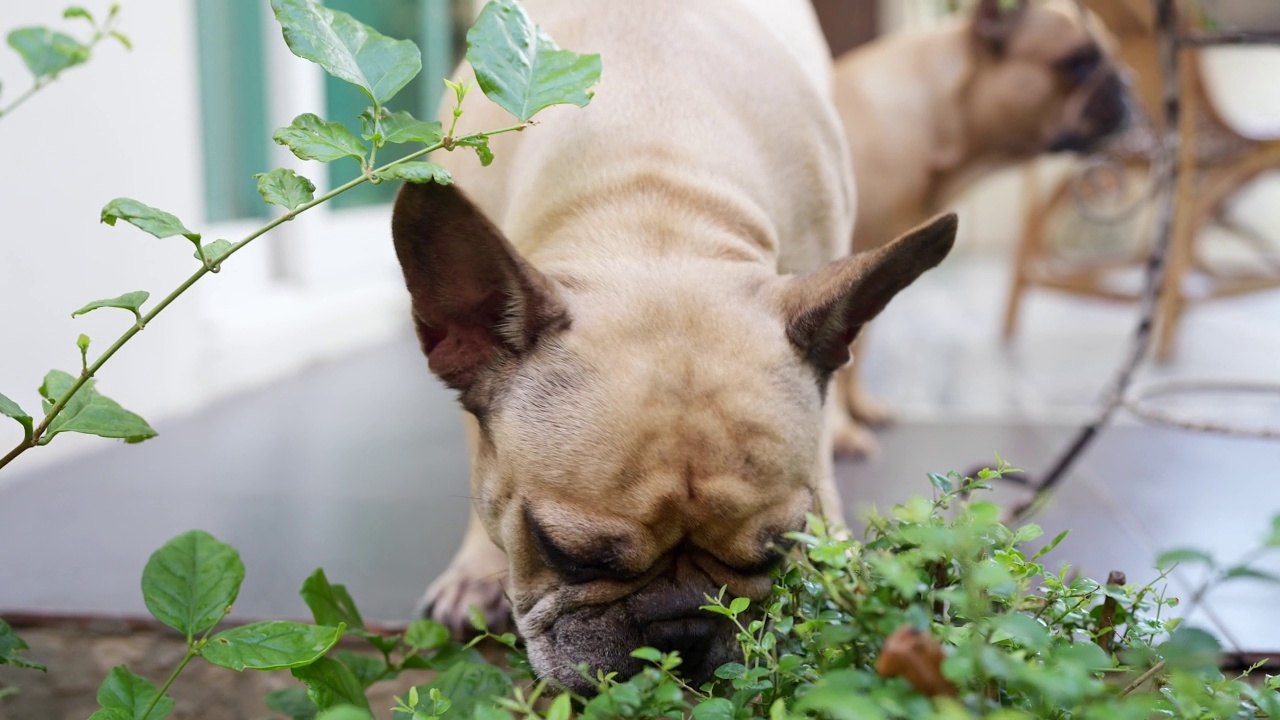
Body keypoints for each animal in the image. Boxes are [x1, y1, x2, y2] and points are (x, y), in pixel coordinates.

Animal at [824, 0, 1126, 453]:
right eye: (1078, 63)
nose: (1128, 82)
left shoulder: (876, 267)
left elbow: (859, 350)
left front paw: (859, 407)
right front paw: (841, 431)